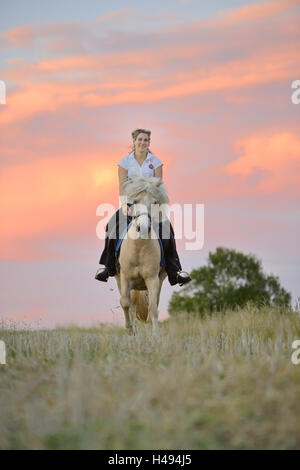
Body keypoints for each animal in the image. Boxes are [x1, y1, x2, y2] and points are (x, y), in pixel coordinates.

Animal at [115, 175, 170, 334]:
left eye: (155, 202)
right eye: (133, 202)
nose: (144, 227)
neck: (139, 248)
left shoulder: (153, 279)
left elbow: (153, 308)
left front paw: (154, 335)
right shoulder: (125, 278)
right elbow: (125, 303)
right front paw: (129, 330)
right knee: (130, 306)